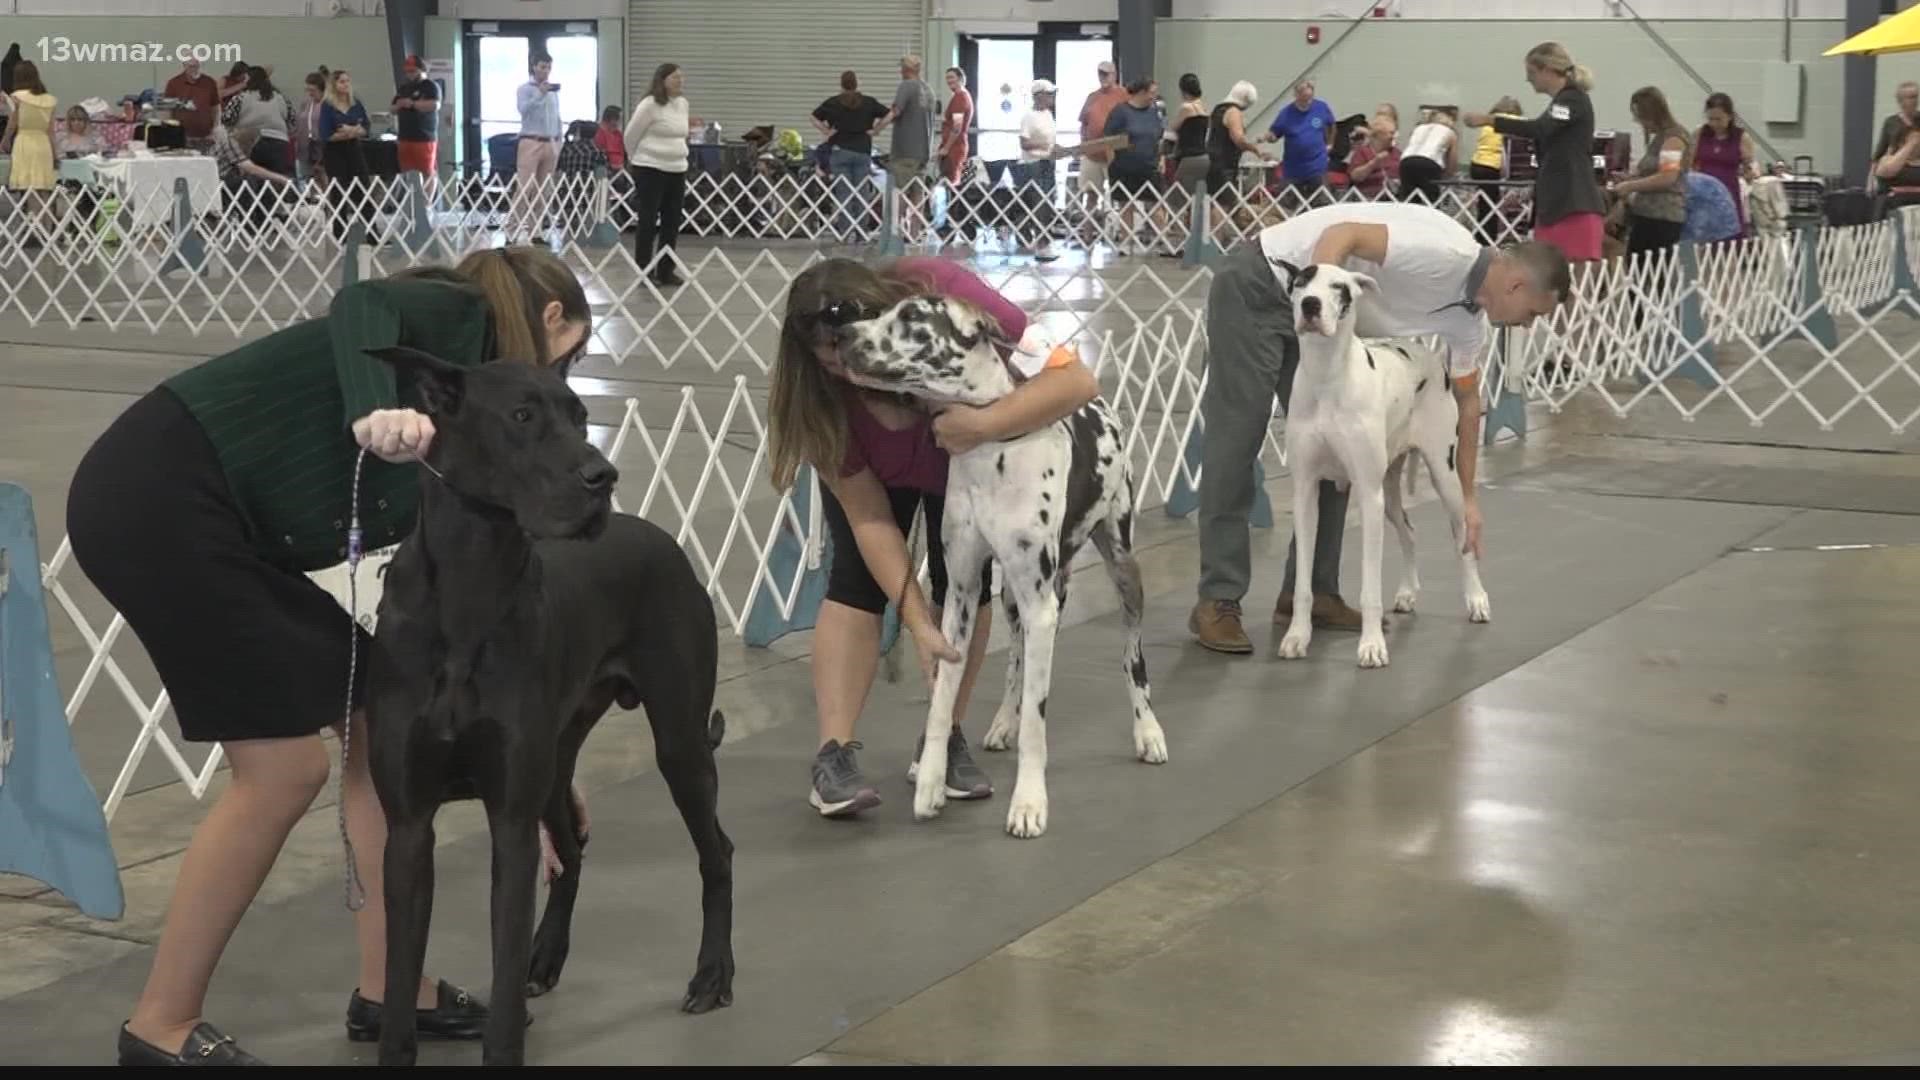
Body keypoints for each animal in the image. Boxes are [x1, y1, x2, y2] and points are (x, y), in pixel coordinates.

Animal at [829, 295, 1167, 841]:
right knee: (1017, 658)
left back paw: (1148, 730)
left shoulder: (1040, 601)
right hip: (1010, 596)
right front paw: (931, 781)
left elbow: (1038, 723)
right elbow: (945, 698)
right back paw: (1004, 720)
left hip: (1121, 567)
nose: (841, 335)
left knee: (1131, 656)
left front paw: (1028, 802)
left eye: (911, 319)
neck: (990, 451)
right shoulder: (962, 594)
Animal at [1274, 259, 1497, 664]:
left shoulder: (1367, 494)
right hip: (1389, 492)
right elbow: (1302, 583)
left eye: (1339, 287)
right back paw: (1408, 592)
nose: (1311, 305)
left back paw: (1476, 599)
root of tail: (1428, 355)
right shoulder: (1306, 493)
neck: (1327, 375)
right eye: (1300, 283)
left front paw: (1372, 645)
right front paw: (1298, 636)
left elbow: (1370, 587)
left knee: (1462, 539)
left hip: (1444, 478)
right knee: (1409, 531)